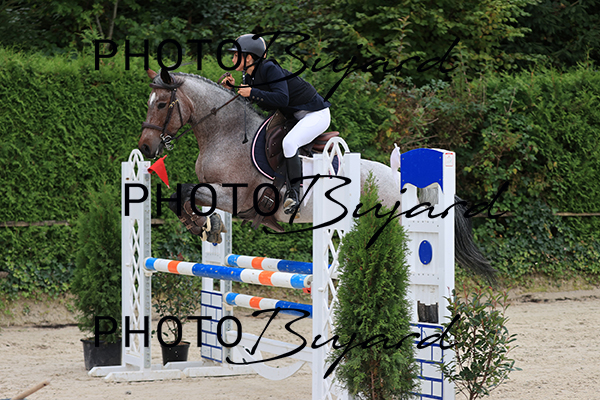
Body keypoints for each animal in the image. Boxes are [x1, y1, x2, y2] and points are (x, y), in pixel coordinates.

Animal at [138, 69, 495, 281]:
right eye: (148, 102)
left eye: (161, 105)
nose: (144, 147)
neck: (225, 134)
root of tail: (400, 179)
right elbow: (185, 194)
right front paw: (208, 227)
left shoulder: (236, 196)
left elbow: (185, 191)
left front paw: (202, 225)